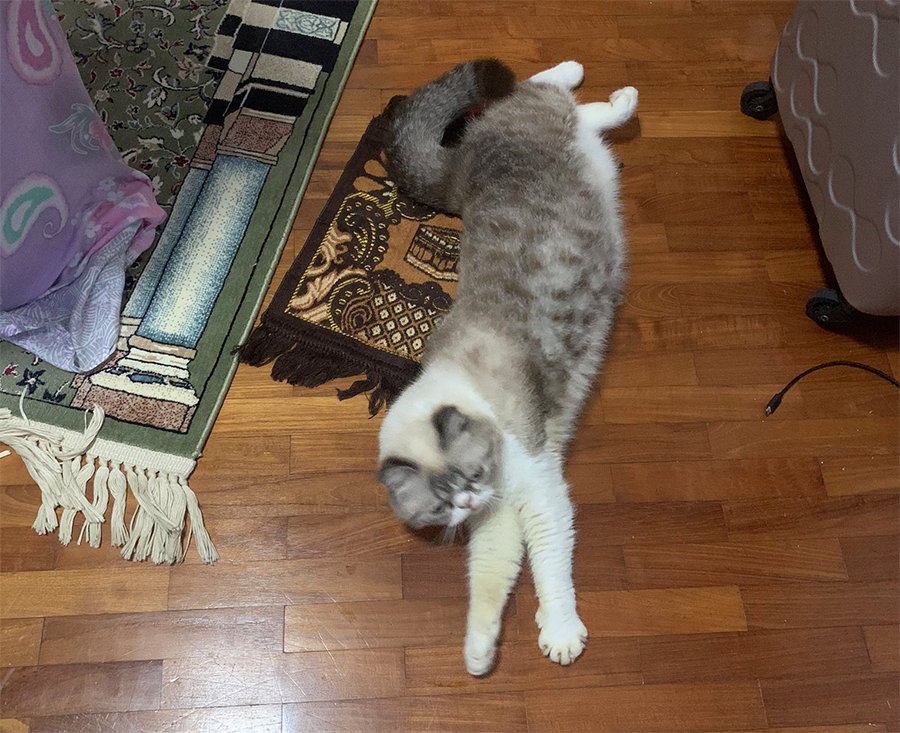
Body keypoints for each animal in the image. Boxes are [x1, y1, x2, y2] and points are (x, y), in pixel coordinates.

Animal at [376, 57, 636, 676]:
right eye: (443, 504)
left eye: (470, 477)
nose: (470, 500)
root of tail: (467, 155)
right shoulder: (497, 518)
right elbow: (490, 580)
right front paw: (479, 652)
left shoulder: (539, 487)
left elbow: (550, 566)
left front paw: (561, 634)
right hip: (575, 141)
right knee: (582, 116)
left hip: (553, 120)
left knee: (557, 92)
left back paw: (606, 86)